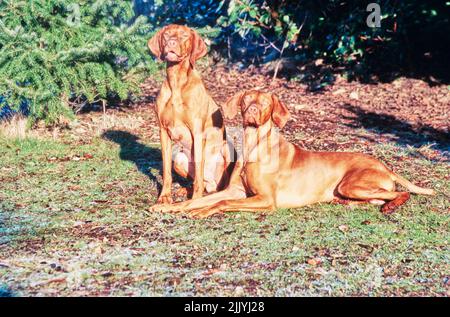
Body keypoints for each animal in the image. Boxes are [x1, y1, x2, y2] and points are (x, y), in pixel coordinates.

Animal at [148, 24, 236, 202]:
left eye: (184, 36)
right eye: (166, 34)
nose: (171, 43)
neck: (176, 81)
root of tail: (212, 183)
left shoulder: (197, 132)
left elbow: (198, 175)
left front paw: (195, 200)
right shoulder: (163, 132)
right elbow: (166, 171)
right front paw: (165, 196)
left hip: (226, 149)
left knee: (218, 184)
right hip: (179, 159)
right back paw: (185, 191)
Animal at [152, 90, 436, 216]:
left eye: (265, 103)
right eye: (247, 100)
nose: (253, 110)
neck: (255, 144)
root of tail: (385, 166)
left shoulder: (266, 200)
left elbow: (221, 203)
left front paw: (201, 212)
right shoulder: (235, 190)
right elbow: (197, 200)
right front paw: (169, 206)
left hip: (352, 183)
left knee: (400, 193)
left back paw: (392, 205)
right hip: (351, 189)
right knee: (379, 198)